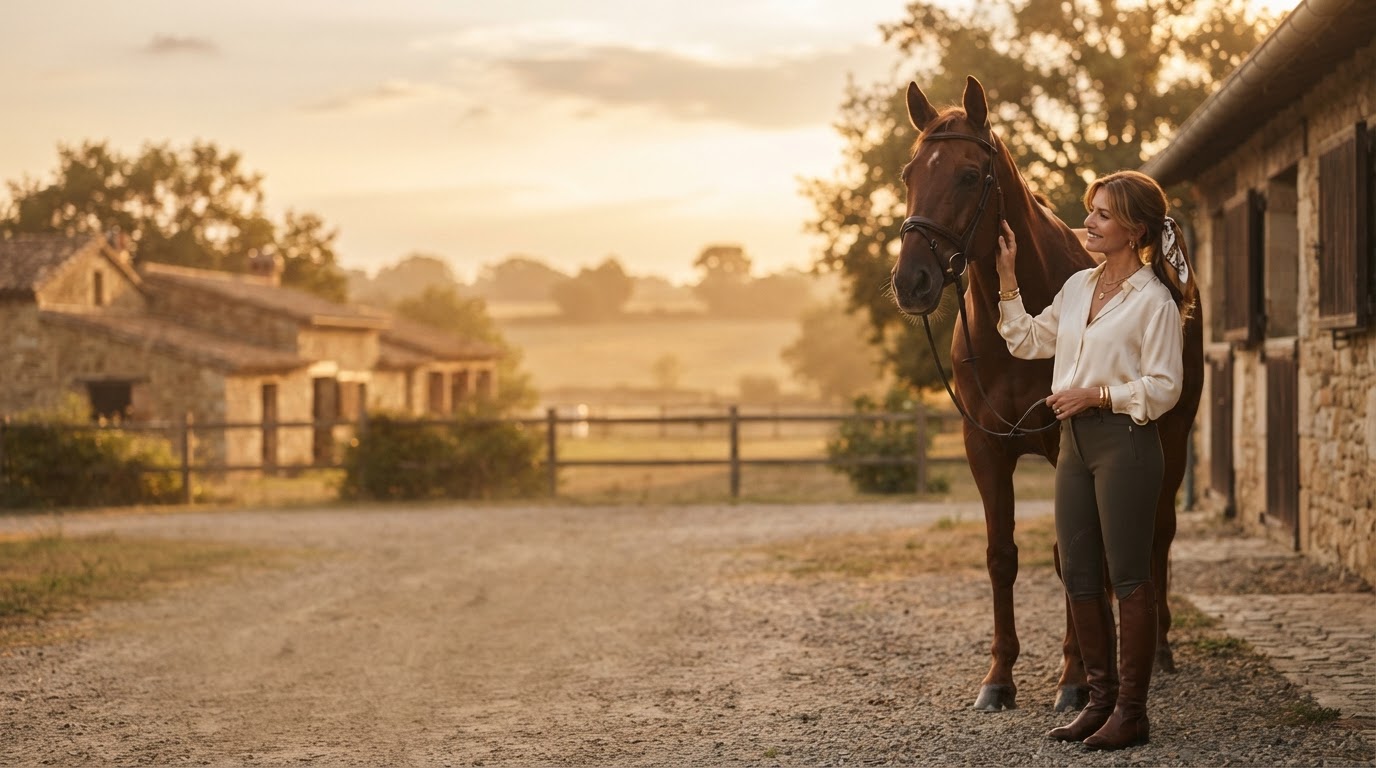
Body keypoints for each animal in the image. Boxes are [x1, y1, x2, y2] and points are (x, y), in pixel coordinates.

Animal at [889, 76, 1204, 712]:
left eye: (968, 175)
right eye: (909, 173)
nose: (912, 282)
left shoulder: (1066, 444)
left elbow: (1069, 555)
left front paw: (1074, 679)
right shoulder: (984, 448)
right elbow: (1002, 556)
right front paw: (998, 679)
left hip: (1175, 437)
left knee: (1156, 535)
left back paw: (1157, 651)